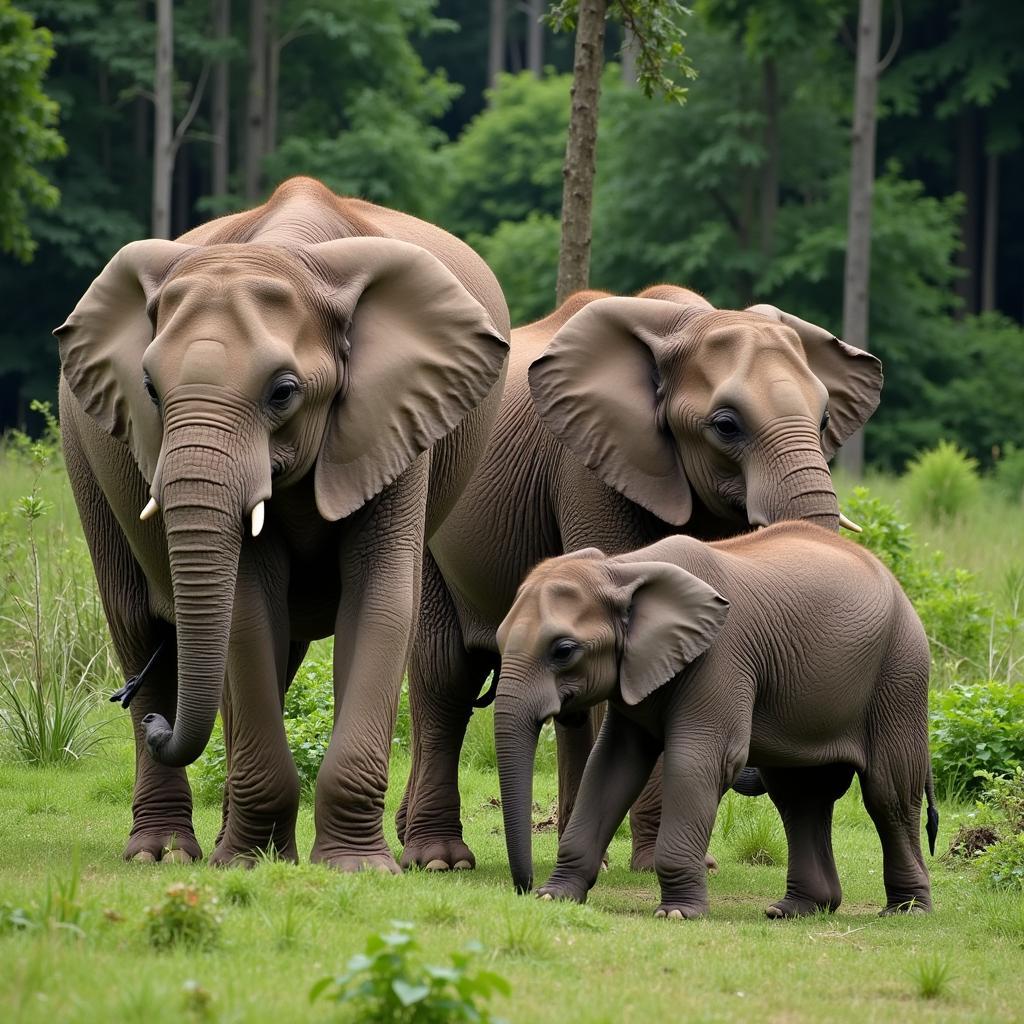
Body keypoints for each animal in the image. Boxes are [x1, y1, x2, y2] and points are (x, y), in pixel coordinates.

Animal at [54, 180, 509, 868]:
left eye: (283, 392)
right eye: (149, 390)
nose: (160, 728)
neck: (289, 252)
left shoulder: (397, 416)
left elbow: (380, 598)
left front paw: (353, 868)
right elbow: (246, 606)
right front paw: (249, 863)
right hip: (83, 456)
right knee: (138, 626)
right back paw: (167, 853)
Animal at [397, 286, 880, 872]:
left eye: (826, 416)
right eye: (726, 425)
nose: (754, 773)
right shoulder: (593, 469)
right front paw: (652, 864)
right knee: (446, 674)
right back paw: (438, 859)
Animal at [493, 520, 937, 921]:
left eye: (564, 651)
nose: (523, 888)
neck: (623, 569)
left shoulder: (720, 656)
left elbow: (698, 761)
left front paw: (677, 914)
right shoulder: (636, 672)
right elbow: (611, 766)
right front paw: (555, 897)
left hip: (900, 669)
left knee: (888, 792)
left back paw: (906, 912)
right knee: (800, 794)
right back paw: (795, 910)